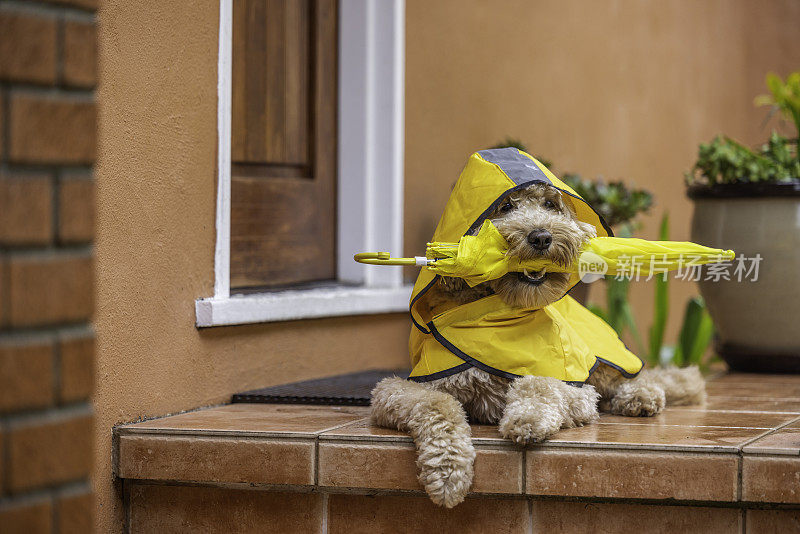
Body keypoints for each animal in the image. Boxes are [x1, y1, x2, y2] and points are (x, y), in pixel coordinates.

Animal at [368, 182, 708, 508]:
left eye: (550, 204)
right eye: (505, 206)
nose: (541, 237)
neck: (501, 316)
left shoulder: (577, 388)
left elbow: (539, 383)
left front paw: (526, 420)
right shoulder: (397, 391)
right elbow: (436, 404)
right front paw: (447, 471)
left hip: (603, 359)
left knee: (638, 377)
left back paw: (639, 397)